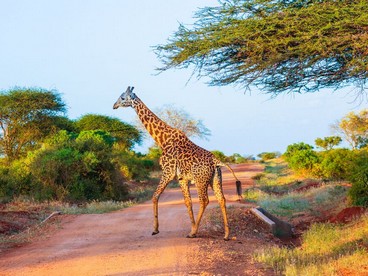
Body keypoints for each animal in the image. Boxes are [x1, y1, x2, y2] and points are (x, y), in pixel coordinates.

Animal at [113, 86, 243, 239]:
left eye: (122, 97)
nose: (114, 105)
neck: (162, 140)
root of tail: (216, 161)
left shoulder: (168, 172)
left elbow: (155, 196)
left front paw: (156, 229)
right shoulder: (182, 178)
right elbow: (187, 202)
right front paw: (191, 226)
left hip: (200, 180)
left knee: (204, 200)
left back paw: (194, 233)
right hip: (215, 179)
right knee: (221, 199)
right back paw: (226, 235)